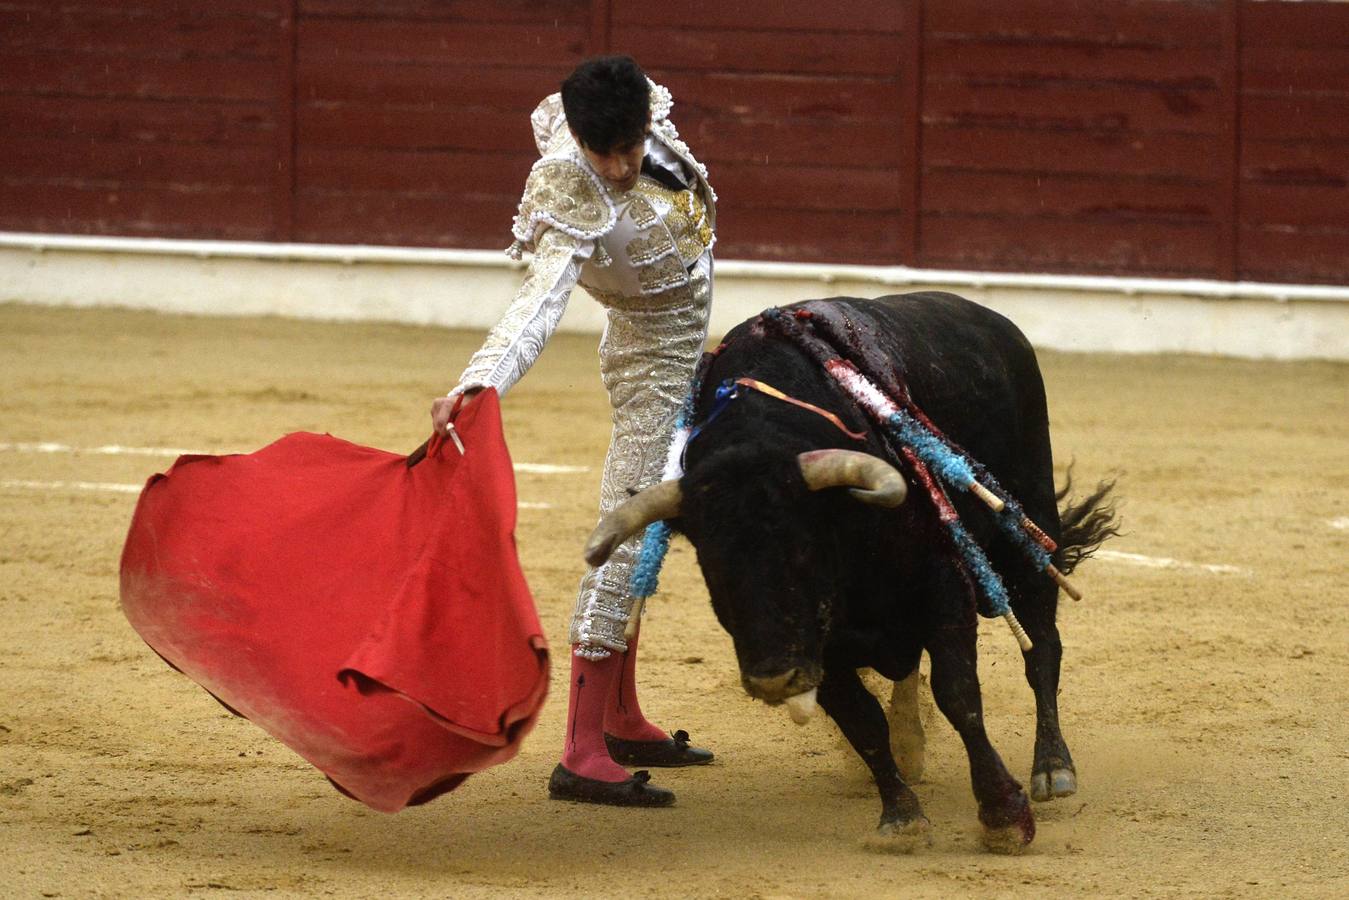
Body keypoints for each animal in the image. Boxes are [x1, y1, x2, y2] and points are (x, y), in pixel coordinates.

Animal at [585, 294, 1111, 852]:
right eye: (714, 569)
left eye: (804, 548)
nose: (773, 679)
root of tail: (989, 318)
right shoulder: (822, 647)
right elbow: (862, 721)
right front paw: (901, 815)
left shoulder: (943, 588)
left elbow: (958, 694)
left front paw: (1004, 813)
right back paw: (912, 745)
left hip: (1028, 526)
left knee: (1042, 649)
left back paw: (1052, 768)